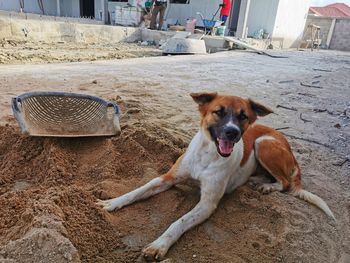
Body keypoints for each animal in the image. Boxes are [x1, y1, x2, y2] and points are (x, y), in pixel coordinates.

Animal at [97, 93, 334, 262]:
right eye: (218, 112)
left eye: (243, 116)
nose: (232, 133)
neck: (208, 153)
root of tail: (287, 144)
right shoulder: (167, 178)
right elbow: (140, 189)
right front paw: (111, 203)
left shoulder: (207, 203)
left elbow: (179, 222)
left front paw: (158, 245)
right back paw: (257, 181)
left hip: (263, 143)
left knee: (285, 183)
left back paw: (267, 187)